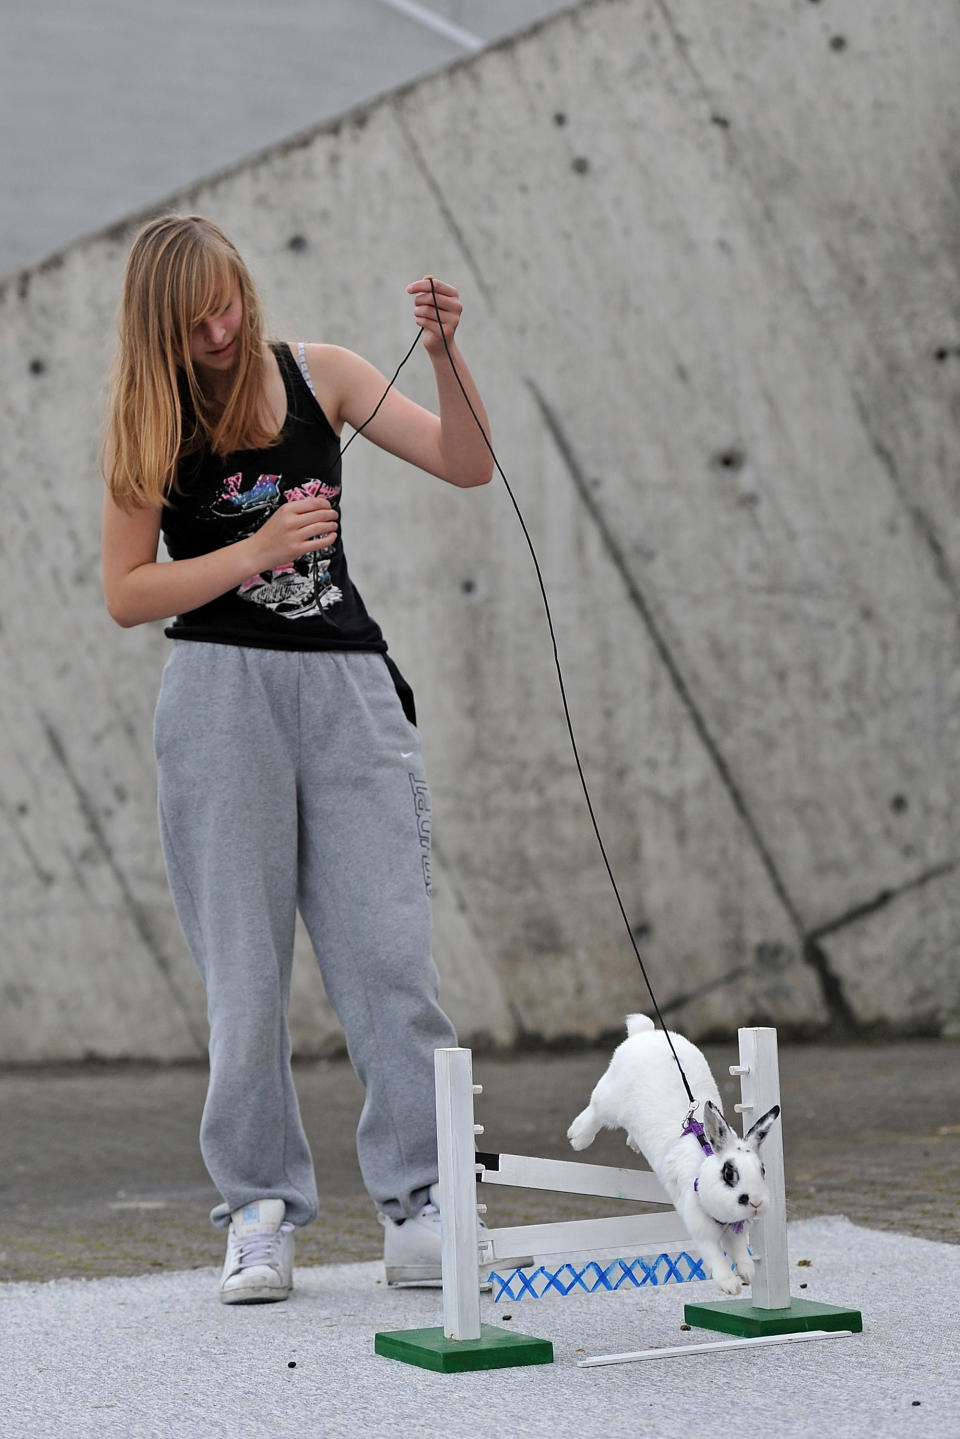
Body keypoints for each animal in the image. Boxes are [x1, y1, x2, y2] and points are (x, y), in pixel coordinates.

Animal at [569, 1013, 782, 1295]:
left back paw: (632, 1142)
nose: (756, 1202)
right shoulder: (700, 1231)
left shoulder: (736, 1232)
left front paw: (747, 1274)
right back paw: (577, 1137)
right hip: (610, 1099)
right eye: (728, 1173)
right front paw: (730, 1285)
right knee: (595, 1110)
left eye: (762, 1170)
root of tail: (645, 1033)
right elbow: (714, 1255)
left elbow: (739, 1251)